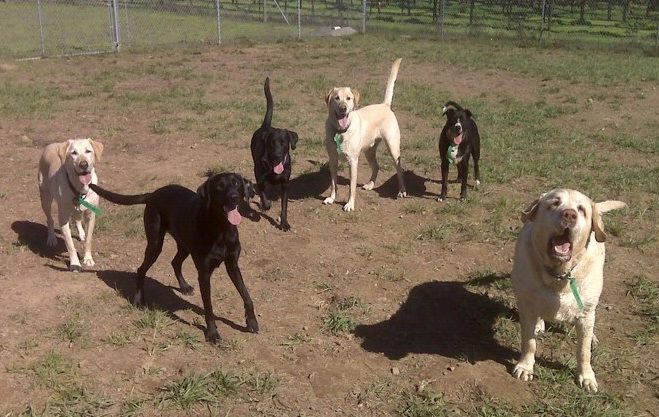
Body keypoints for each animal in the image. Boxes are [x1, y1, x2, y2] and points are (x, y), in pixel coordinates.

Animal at [38, 138, 104, 272]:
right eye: (73, 153)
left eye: (88, 151)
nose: (83, 165)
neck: (80, 188)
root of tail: (51, 145)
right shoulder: (63, 218)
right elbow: (70, 245)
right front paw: (75, 264)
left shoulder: (91, 215)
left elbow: (88, 240)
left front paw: (88, 259)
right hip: (45, 198)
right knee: (50, 219)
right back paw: (51, 238)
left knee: (77, 218)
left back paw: (82, 233)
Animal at [89, 173, 258, 344]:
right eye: (220, 186)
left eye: (236, 183)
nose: (234, 197)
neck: (222, 229)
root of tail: (153, 194)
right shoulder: (204, 274)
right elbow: (209, 307)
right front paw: (212, 333)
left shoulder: (232, 265)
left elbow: (247, 296)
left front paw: (251, 322)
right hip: (155, 244)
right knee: (141, 269)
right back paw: (138, 300)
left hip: (184, 245)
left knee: (175, 262)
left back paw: (184, 286)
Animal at [250, 77, 300, 231]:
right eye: (272, 143)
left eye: (284, 142)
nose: (277, 155)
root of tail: (265, 125)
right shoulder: (259, 177)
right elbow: (264, 196)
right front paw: (265, 205)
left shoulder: (285, 185)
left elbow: (284, 207)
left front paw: (284, 223)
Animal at [324, 57, 408, 211]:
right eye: (336, 98)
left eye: (349, 98)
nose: (343, 108)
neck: (341, 131)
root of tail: (384, 105)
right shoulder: (332, 160)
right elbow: (333, 183)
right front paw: (331, 198)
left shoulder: (352, 162)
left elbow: (351, 187)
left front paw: (349, 204)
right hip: (369, 151)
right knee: (376, 166)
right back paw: (370, 184)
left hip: (393, 148)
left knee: (400, 170)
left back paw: (402, 191)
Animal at [510, 188, 628, 390]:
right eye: (555, 203)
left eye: (581, 209)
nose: (569, 214)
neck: (559, 275)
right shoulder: (526, 305)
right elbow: (529, 341)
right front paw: (525, 366)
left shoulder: (585, 312)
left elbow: (583, 351)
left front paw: (586, 376)